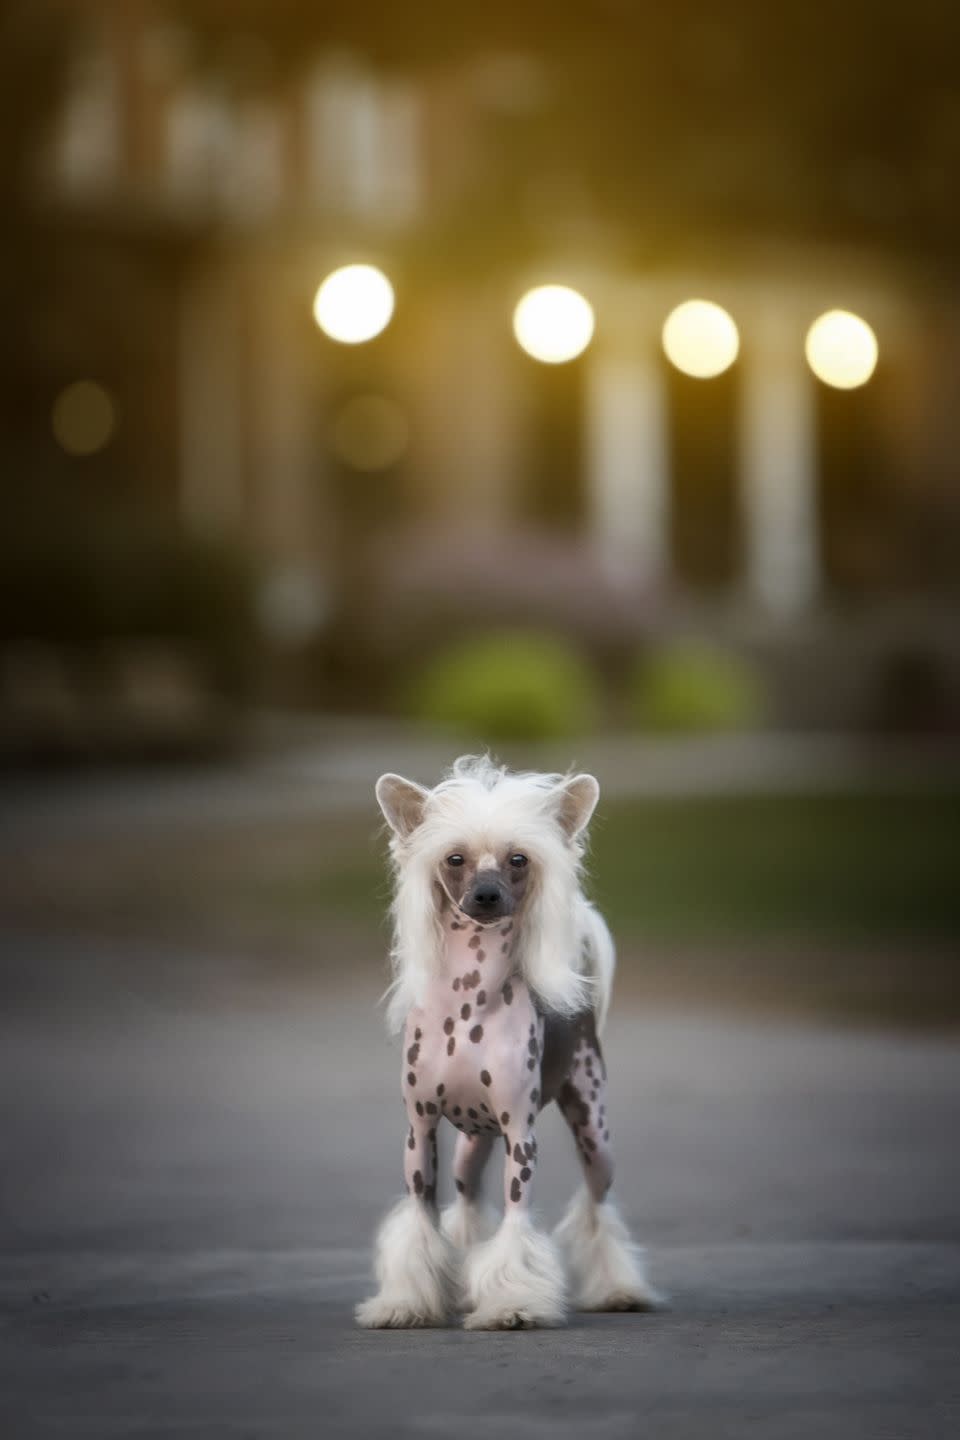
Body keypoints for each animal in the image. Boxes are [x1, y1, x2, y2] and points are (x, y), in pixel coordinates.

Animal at [355, 760, 662, 1330]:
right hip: (471, 1145)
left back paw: (618, 1289)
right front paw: (405, 1303)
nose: (487, 895)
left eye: (518, 859)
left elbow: (517, 1225)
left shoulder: (521, 1134)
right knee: (468, 1200)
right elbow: (420, 1221)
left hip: (593, 1129)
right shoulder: (420, 1129)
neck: (468, 1002)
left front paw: (513, 1304)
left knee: (597, 1208)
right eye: (455, 858)